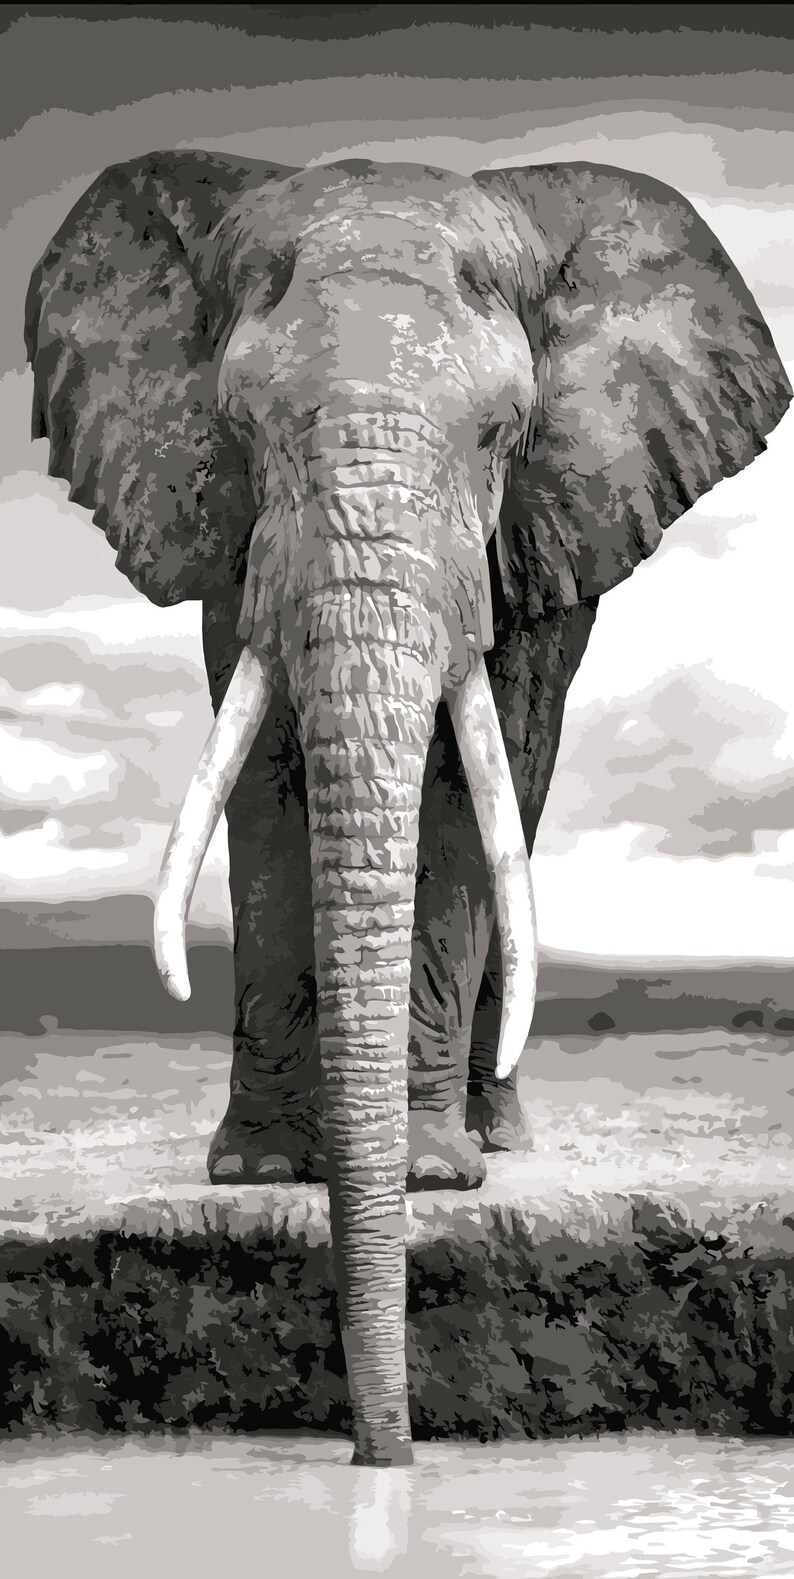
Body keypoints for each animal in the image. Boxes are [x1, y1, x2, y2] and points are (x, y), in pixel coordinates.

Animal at [26, 150, 790, 1465]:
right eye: (240, 428)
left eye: (501, 434)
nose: (383, 1453)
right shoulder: (229, 534)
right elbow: (266, 777)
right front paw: (261, 1171)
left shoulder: (517, 534)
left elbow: (454, 795)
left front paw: (429, 1180)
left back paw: (493, 1139)